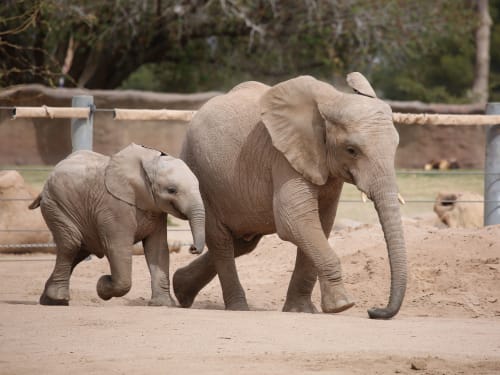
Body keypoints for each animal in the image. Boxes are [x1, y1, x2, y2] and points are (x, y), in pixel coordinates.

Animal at [29, 142, 205, 306]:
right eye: (172, 190)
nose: (192, 248)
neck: (147, 163)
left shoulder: (156, 210)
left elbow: (158, 248)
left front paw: (163, 305)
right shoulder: (114, 206)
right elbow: (118, 247)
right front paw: (102, 285)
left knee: (79, 250)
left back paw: (48, 300)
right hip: (56, 205)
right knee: (71, 244)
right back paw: (58, 299)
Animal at [173, 73, 406, 320]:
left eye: (395, 146)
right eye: (351, 150)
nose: (374, 311)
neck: (332, 100)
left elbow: (320, 224)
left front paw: (302, 310)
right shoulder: (284, 157)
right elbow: (295, 220)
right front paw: (342, 305)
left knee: (243, 244)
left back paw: (181, 291)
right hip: (200, 176)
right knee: (221, 242)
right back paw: (237, 308)